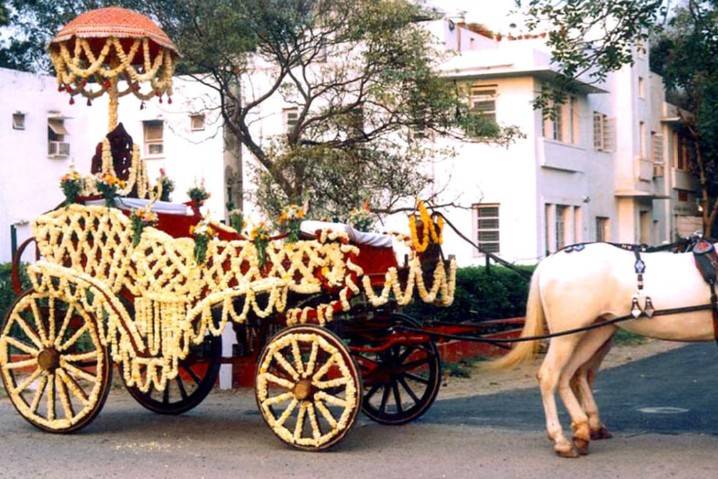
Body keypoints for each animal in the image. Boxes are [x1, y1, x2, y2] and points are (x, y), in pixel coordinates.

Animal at [492, 244, 716, 458]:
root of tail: (549, 262)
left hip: (595, 332)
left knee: (571, 374)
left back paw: (583, 430)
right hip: (567, 336)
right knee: (550, 375)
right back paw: (561, 441)